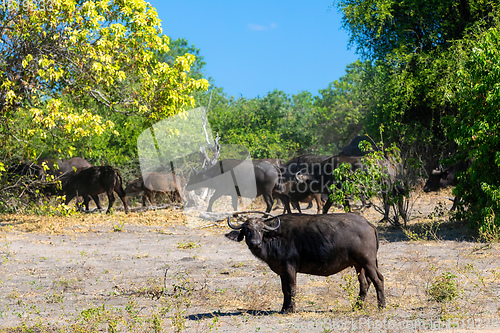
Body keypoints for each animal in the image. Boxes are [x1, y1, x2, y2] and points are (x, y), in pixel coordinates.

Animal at [225, 211, 384, 312]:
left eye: (261, 229)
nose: (255, 243)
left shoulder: (290, 268)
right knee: (364, 283)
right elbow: (284, 290)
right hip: (358, 265)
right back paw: (357, 306)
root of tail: (368, 224)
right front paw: (284, 308)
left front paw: (291, 309)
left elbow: (291, 288)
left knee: (378, 279)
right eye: (247, 229)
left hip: (368, 262)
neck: (275, 238)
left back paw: (381, 305)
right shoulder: (282, 272)